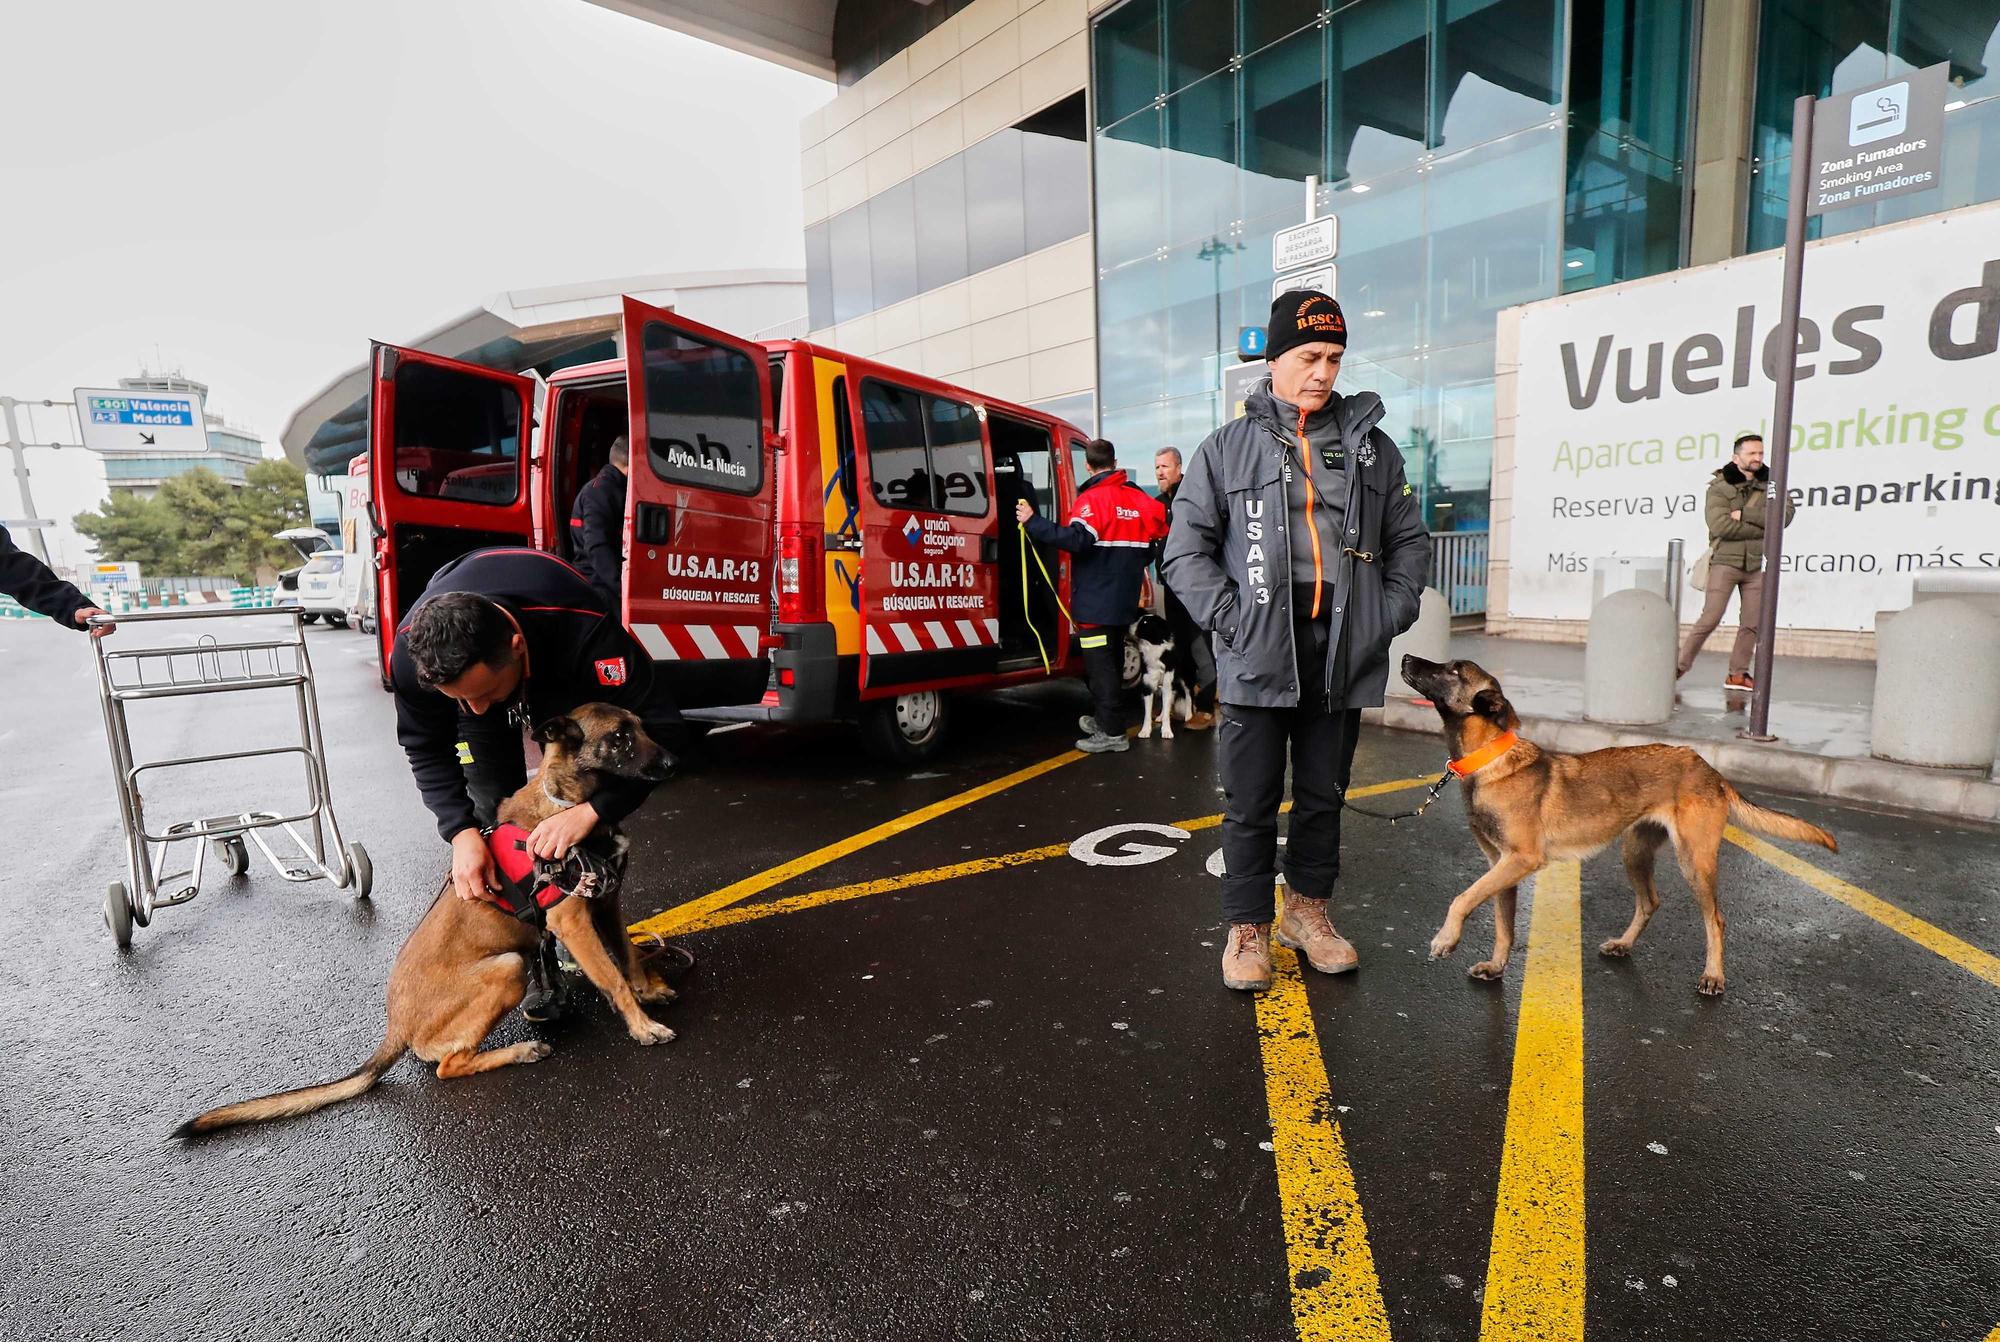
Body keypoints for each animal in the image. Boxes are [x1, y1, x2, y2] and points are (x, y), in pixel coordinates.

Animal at [180, 704, 680, 1136]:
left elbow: (627, 956)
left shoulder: (608, 904)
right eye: (619, 737)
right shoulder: (574, 922)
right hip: (508, 967)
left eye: (641, 725)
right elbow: (612, 977)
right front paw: (642, 1026)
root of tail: (396, 1025)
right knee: (447, 1065)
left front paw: (648, 989)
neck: (565, 805)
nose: (674, 760)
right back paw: (519, 1051)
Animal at [1400, 656, 1832, 1004]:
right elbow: (1502, 925)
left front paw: (1446, 938)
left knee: (1716, 920)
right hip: (1634, 853)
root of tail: (1708, 767)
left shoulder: (1519, 861)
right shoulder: (1501, 867)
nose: (1404, 656)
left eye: (1454, 670)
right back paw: (1624, 944)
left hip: (1695, 862)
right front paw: (1496, 966)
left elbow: (1461, 898)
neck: (1488, 761)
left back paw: (1713, 976)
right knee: (1649, 901)